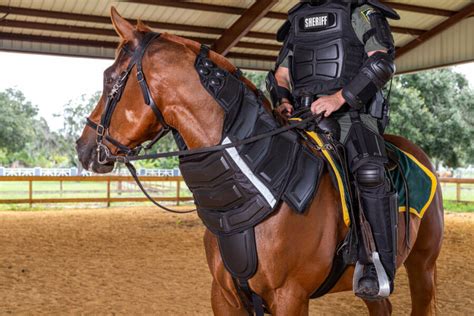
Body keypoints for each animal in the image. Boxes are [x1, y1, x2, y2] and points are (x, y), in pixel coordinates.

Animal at [78, 8, 444, 316]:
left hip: (422, 266)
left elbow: (379, 60)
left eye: (110, 78)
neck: (261, 189)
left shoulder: (289, 297)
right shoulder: (225, 296)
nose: (84, 148)